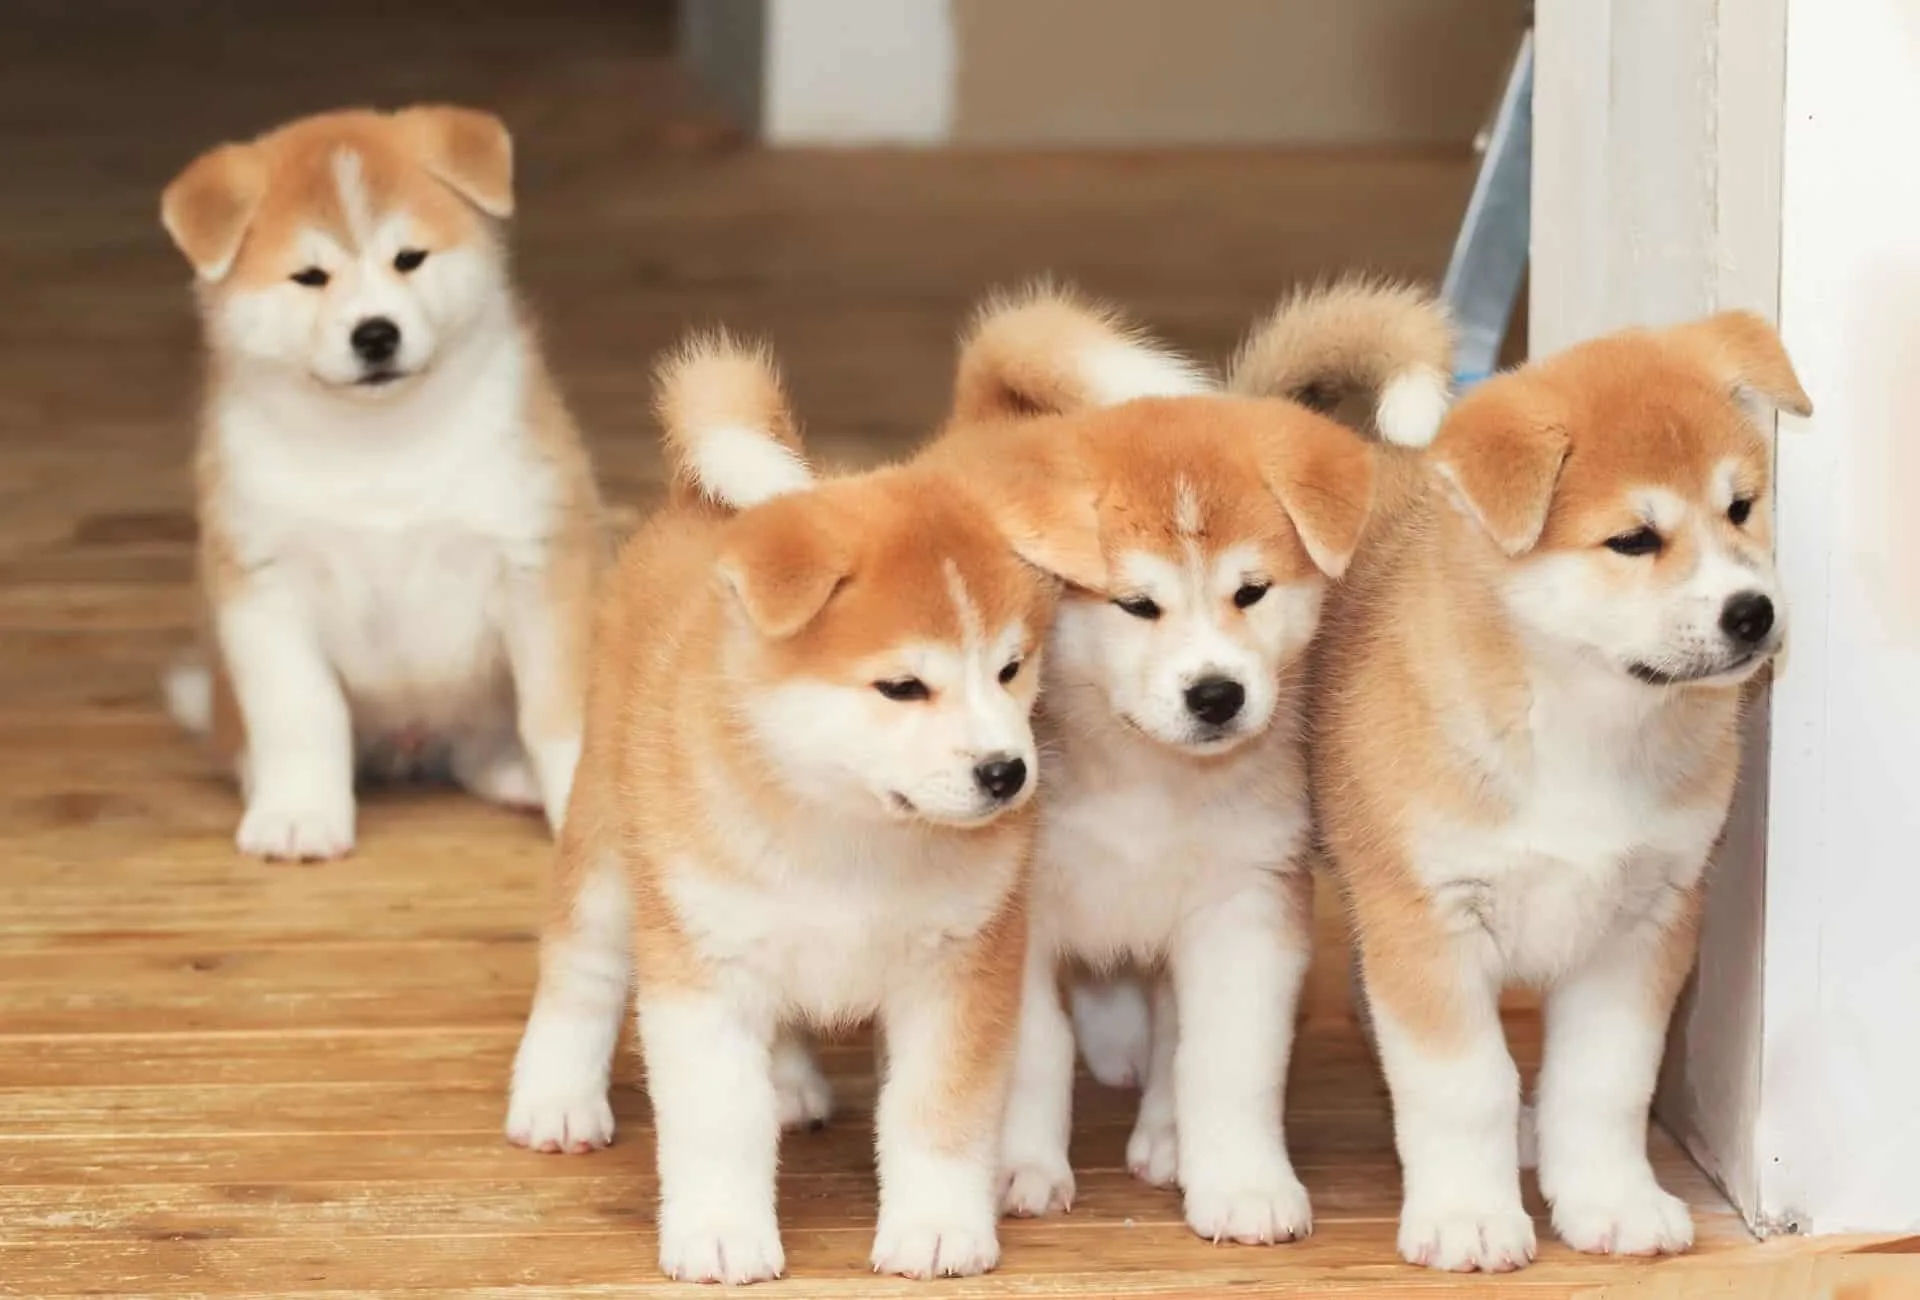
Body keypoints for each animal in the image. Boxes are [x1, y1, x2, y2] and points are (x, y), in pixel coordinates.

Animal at [158, 106, 599, 856]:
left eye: (409, 258)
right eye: (310, 276)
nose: (375, 334)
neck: (380, 444)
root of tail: (413, 742)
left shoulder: (536, 563)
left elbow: (557, 714)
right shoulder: (268, 588)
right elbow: (302, 716)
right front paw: (300, 813)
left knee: (484, 747)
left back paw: (516, 778)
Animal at [499, 332, 1098, 1275]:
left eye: (1011, 669)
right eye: (903, 686)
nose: (1006, 774)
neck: (845, 831)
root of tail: (695, 503)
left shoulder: (956, 972)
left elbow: (936, 1118)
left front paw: (936, 1228)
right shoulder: (703, 974)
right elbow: (717, 1125)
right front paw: (720, 1233)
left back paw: (787, 1084)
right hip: (608, 847)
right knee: (580, 967)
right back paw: (557, 1098)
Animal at [933, 286, 1451, 1244]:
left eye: (1252, 591)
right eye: (1137, 605)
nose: (1216, 694)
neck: (1147, 779)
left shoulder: (1245, 906)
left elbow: (1224, 1062)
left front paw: (1241, 1183)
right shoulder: (1016, 918)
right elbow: (1033, 1055)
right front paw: (1020, 1168)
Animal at [1274, 311, 1812, 1267]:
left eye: (1740, 506)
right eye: (1634, 540)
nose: (1752, 613)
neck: (1584, 729)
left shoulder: (1644, 926)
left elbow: (1604, 1084)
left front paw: (1612, 1199)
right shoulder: (1432, 922)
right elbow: (1464, 1086)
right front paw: (1469, 1215)